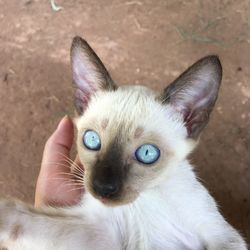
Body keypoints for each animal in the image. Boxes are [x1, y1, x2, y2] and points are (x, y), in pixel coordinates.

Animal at [0, 35, 247, 250]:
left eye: (147, 153)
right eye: (92, 140)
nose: (103, 187)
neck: (144, 200)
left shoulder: (222, 236)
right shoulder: (104, 234)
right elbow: (19, 218)